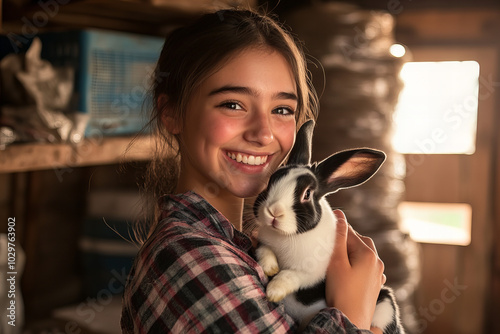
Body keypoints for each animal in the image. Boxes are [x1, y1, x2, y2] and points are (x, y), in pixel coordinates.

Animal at [256, 120, 404, 334]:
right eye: (271, 181)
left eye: (307, 194)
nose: (273, 212)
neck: (286, 236)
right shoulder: (262, 242)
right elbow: (264, 251)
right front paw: (270, 268)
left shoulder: (311, 272)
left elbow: (291, 275)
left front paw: (274, 290)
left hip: (384, 305)